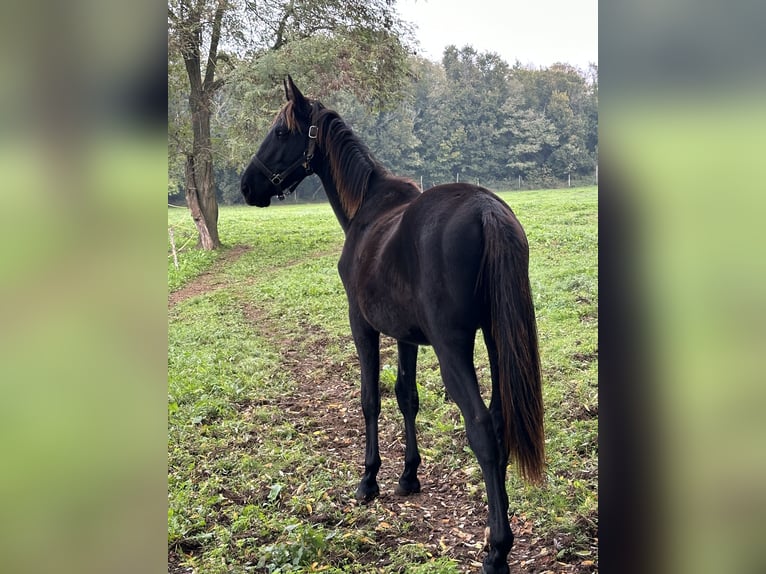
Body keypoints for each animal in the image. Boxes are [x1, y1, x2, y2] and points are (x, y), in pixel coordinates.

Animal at [240, 77, 544, 574]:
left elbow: (370, 400)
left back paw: (497, 549)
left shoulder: (362, 325)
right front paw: (408, 476)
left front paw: (369, 480)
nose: (247, 185)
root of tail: (486, 209)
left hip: (454, 350)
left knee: (482, 428)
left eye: (281, 132)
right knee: (499, 424)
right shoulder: (406, 337)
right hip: (499, 342)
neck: (368, 209)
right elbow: (407, 398)